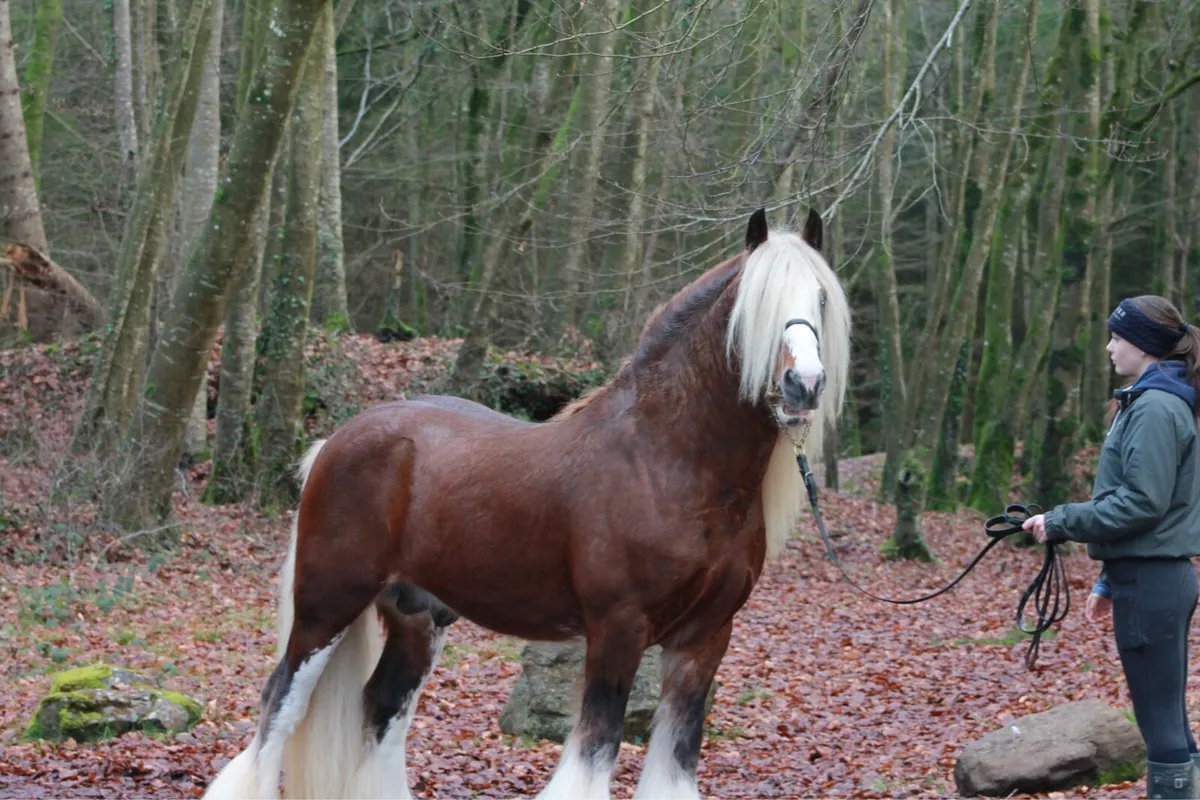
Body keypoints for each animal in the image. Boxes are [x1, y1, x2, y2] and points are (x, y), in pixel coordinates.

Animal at [202, 208, 852, 800]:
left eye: (820, 297)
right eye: (757, 303)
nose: (804, 385)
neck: (668, 460)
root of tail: (336, 442)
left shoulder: (706, 640)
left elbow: (673, 766)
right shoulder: (617, 630)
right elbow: (593, 756)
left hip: (417, 616)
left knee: (381, 710)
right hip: (326, 606)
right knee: (278, 708)